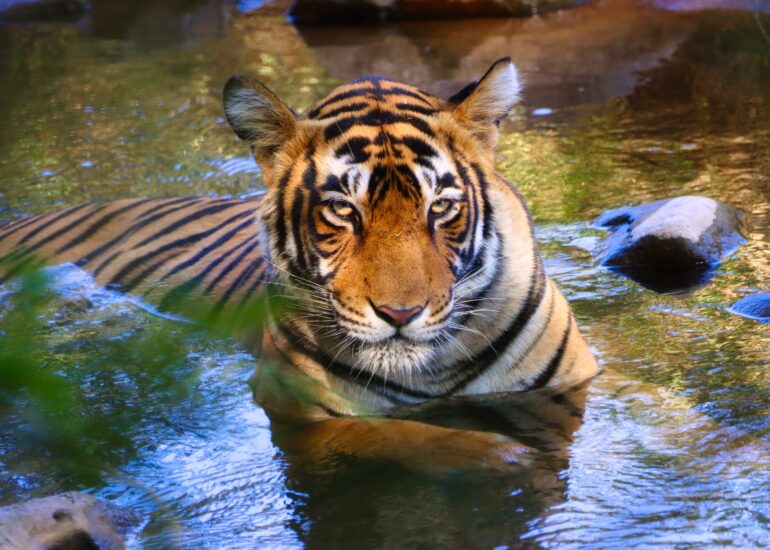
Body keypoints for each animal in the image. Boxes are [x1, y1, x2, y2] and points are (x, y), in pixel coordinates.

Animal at [0, 58, 598, 470]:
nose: (400, 314)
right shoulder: (298, 409)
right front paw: (502, 454)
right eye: (343, 211)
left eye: (440, 208)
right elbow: (410, 434)